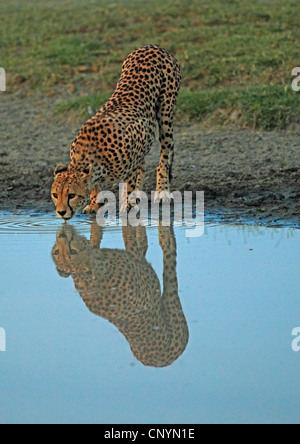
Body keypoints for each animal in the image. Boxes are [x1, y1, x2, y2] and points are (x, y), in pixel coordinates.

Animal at [51, 43, 180, 220]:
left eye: (71, 195)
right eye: (55, 195)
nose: (61, 212)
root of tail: (152, 45)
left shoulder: (136, 142)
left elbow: (130, 182)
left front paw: (129, 204)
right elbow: (94, 186)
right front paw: (94, 203)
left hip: (166, 114)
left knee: (165, 156)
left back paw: (162, 191)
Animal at [51, 224, 188, 366]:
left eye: (73, 251)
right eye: (56, 252)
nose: (62, 235)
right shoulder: (137, 259)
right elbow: (133, 236)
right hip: (172, 307)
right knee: (167, 253)